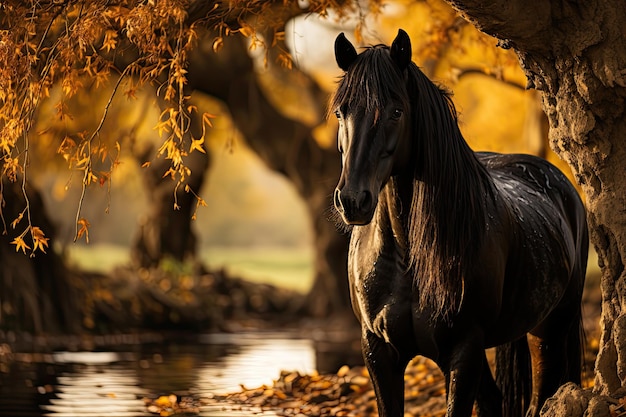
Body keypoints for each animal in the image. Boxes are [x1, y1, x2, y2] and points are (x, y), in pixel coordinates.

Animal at [330, 29, 588, 416]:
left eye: (395, 111)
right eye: (340, 111)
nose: (352, 200)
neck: (406, 257)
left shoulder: (463, 351)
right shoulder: (378, 352)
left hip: (550, 331)